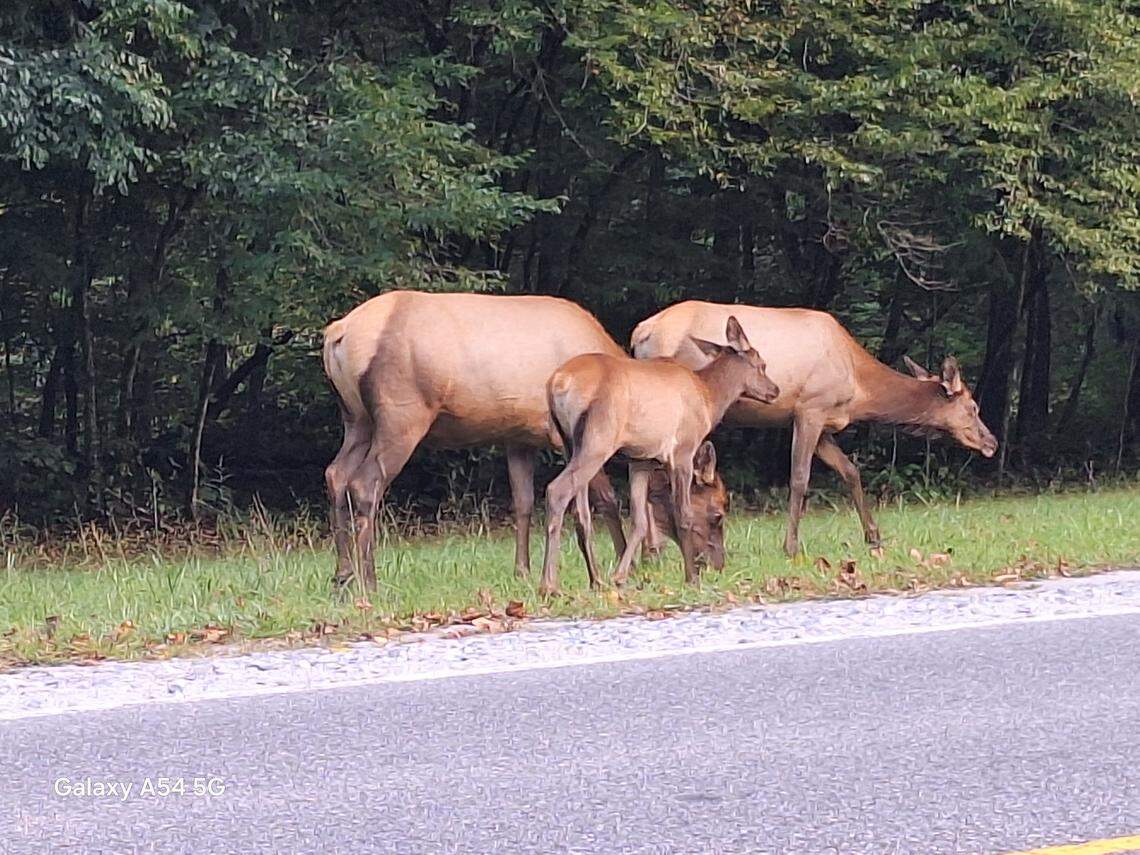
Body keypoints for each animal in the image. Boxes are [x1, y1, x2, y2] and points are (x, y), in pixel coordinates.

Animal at [321, 290, 729, 589]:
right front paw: (614, 569)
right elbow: (605, 500)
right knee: (365, 483)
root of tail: (338, 335)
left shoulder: (518, 436)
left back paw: (342, 575)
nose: (716, 564)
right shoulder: (574, 437)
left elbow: (522, 502)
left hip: (356, 417)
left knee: (336, 473)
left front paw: (523, 571)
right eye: (717, 511)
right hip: (401, 414)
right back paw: (369, 581)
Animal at [540, 316, 778, 596]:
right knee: (557, 490)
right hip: (597, 441)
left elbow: (640, 520)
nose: (774, 390)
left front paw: (620, 576)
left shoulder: (641, 460)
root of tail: (557, 383)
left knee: (581, 513)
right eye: (761, 365)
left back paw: (595, 580)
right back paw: (549, 585)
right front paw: (692, 578)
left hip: (570, 444)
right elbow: (683, 515)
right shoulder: (682, 451)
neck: (709, 398)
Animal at [631, 300, 998, 557]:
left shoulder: (825, 424)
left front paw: (874, 536)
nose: (991, 442)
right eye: (973, 407)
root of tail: (641, 333)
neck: (858, 388)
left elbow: (850, 471)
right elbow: (799, 478)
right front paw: (791, 546)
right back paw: (656, 550)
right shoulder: (810, 409)